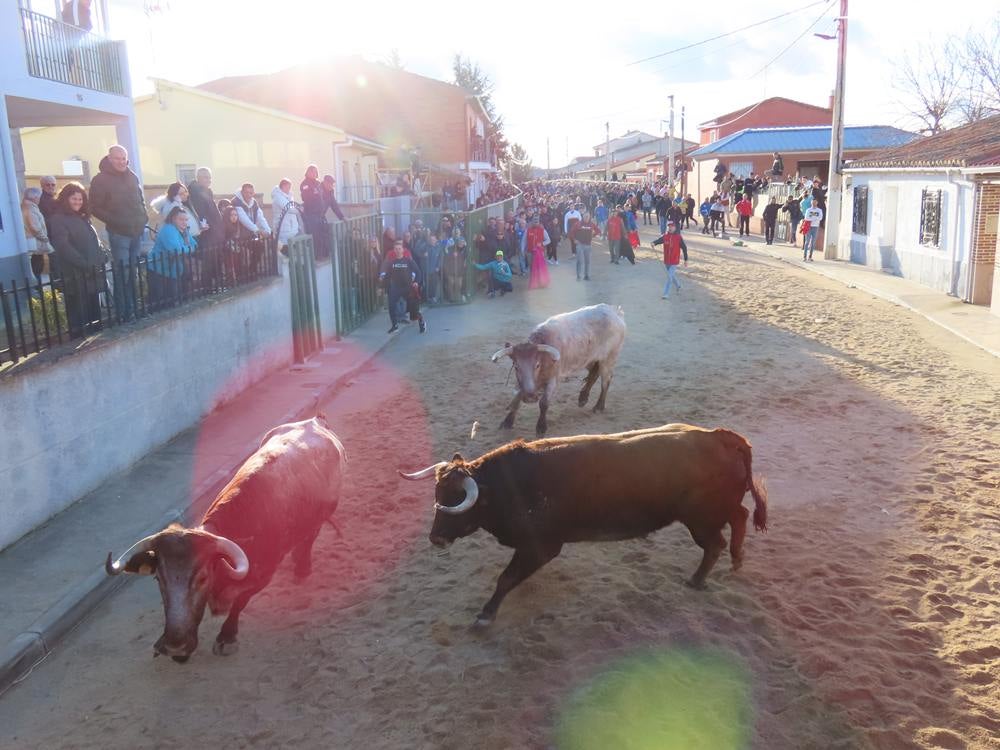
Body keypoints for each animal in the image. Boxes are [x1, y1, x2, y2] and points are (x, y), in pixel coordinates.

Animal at [398, 426, 764, 624]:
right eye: (438, 495)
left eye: (455, 501)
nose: (436, 538)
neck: (508, 485)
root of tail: (722, 437)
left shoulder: (542, 546)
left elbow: (506, 578)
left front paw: (485, 615)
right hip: (714, 512)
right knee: (740, 516)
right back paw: (737, 560)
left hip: (701, 519)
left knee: (716, 542)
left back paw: (698, 580)